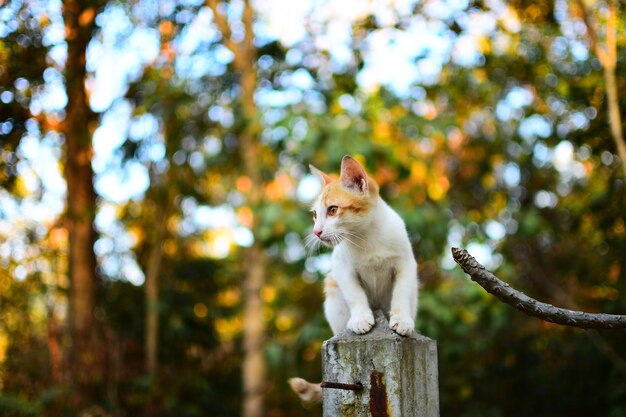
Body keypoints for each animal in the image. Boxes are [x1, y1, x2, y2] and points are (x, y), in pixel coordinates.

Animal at [288, 154, 420, 402]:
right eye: (315, 215)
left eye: (332, 210)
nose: (316, 232)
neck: (366, 237)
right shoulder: (342, 269)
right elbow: (355, 293)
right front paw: (360, 318)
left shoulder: (406, 264)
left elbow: (401, 292)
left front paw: (402, 319)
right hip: (332, 290)